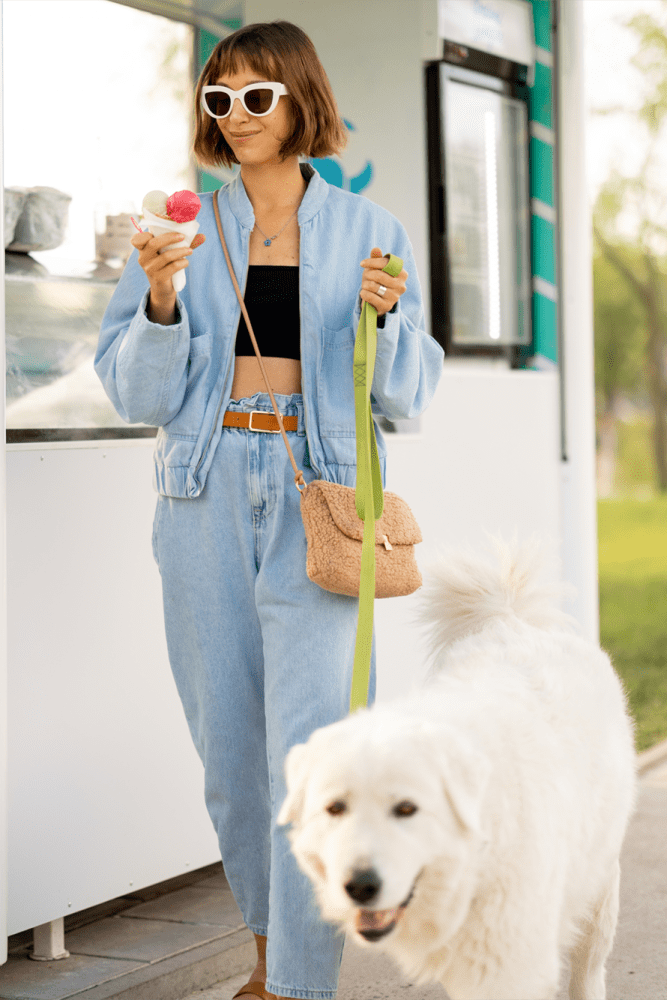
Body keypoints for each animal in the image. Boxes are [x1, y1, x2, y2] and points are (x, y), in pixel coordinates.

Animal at [276, 544, 636, 1000]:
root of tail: (511, 620)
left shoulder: (511, 962)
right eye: (335, 808)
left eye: (407, 809)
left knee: (589, 970)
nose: (359, 886)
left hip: (598, 887)